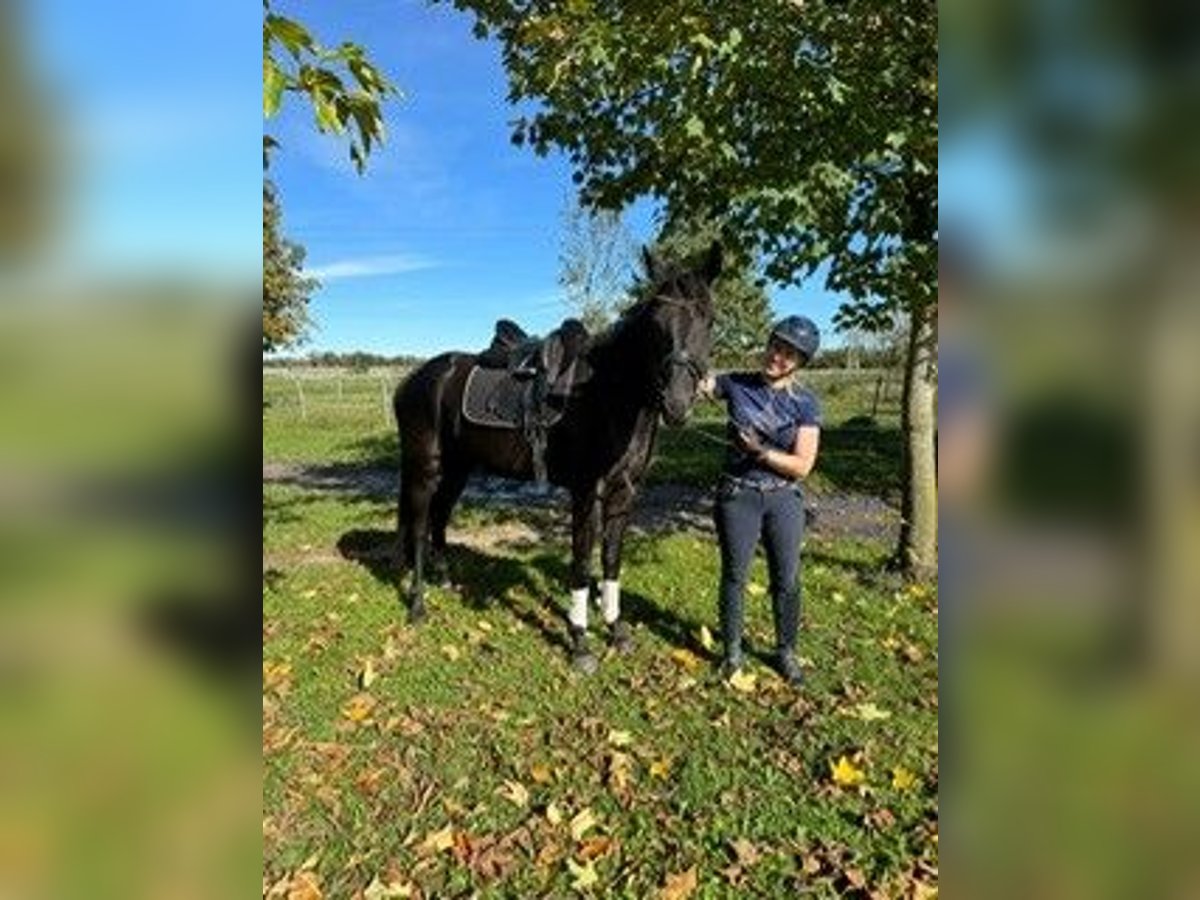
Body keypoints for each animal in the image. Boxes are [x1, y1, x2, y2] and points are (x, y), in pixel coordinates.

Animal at [393, 243, 720, 672]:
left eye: (710, 320)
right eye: (654, 324)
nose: (677, 404)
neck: (608, 396)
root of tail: (413, 380)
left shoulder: (624, 494)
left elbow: (611, 560)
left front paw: (616, 631)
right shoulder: (585, 494)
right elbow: (581, 564)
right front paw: (580, 642)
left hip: (459, 468)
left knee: (439, 516)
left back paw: (444, 579)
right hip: (424, 467)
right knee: (417, 526)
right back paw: (417, 606)